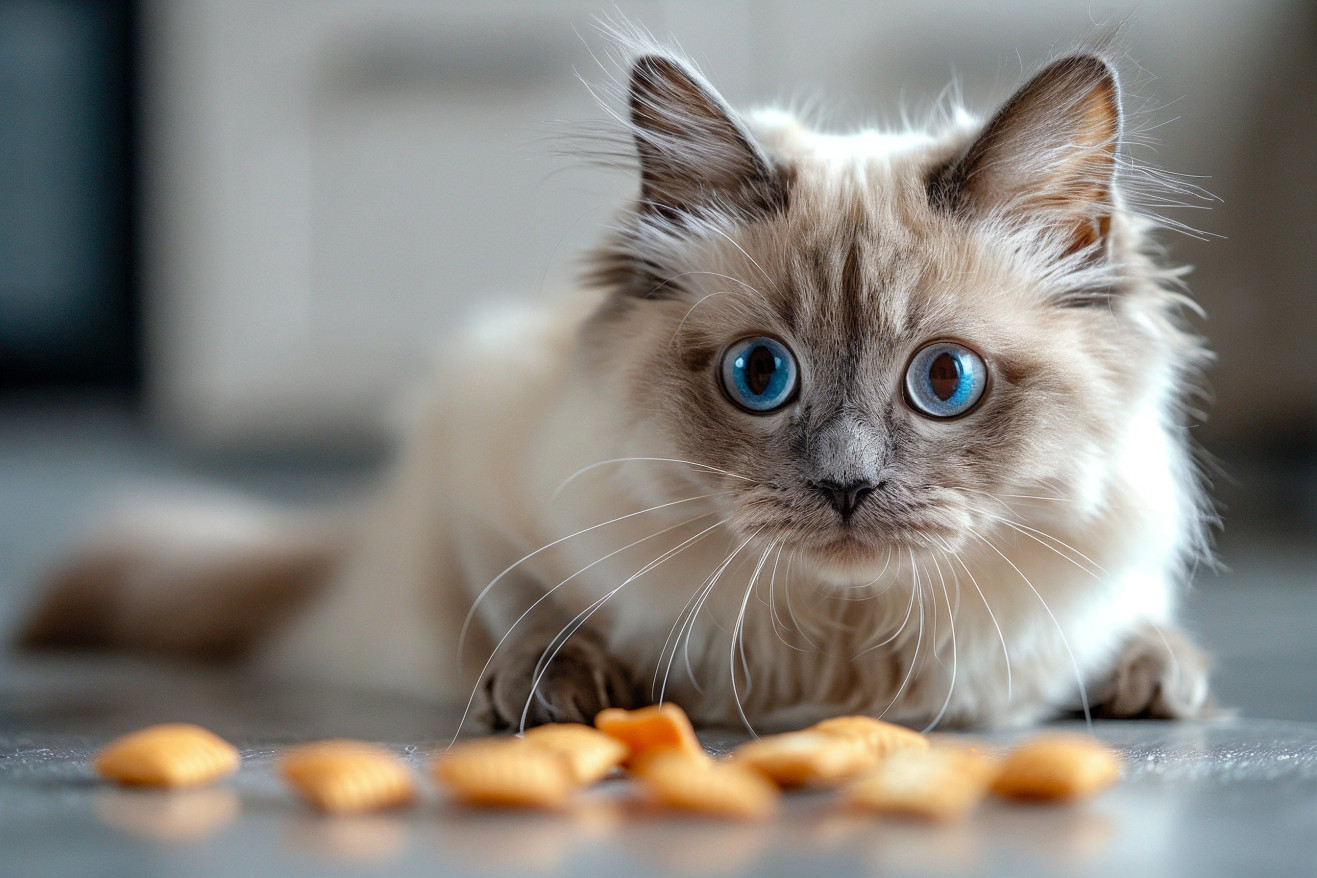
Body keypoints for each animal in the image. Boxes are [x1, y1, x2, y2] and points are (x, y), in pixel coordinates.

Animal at [18, 32, 1211, 737]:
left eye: (945, 380)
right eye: (760, 374)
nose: (846, 486)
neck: (839, 644)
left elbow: (1126, 625)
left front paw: (1155, 673)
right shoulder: (477, 451)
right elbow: (527, 605)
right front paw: (561, 689)